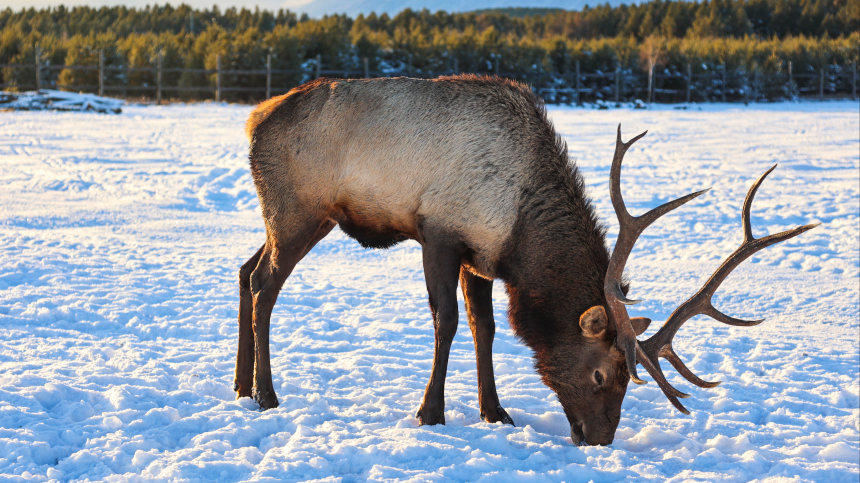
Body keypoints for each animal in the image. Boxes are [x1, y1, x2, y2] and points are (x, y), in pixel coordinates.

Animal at [233, 75, 812, 446]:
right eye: (603, 375)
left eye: (629, 380)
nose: (600, 440)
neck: (520, 226)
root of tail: (252, 121)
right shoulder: (439, 233)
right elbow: (447, 322)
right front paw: (431, 412)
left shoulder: (480, 257)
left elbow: (485, 328)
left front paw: (495, 412)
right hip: (296, 210)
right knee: (264, 283)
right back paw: (267, 394)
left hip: (294, 218)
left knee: (242, 271)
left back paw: (240, 385)